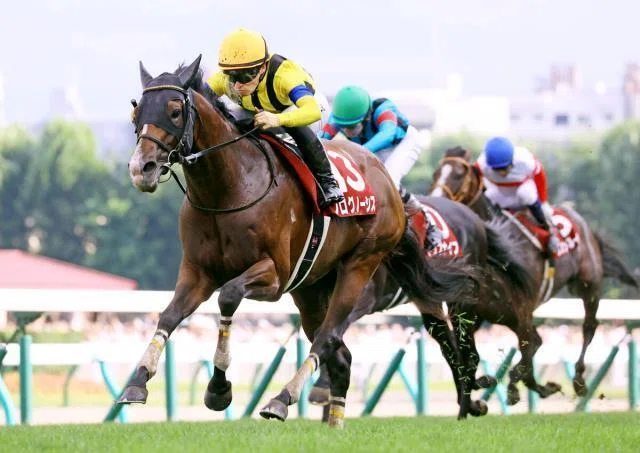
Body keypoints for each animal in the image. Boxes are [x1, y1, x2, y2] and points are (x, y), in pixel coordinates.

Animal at [120, 55, 481, 428]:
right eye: (137, 111)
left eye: (175, 110)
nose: (141, 168)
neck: (228, 189)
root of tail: (388, 184)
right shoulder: (198, 272)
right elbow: (168, 316)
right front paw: (137, 382)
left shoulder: (274, 275)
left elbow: (229, 297)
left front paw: (219, 388)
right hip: (311, 287)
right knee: (342, 355)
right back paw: (334, 419)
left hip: (360, 264)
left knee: (330, 337)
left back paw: (282, 399)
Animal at [306, 196, 537, 419]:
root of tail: (476, 219)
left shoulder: (363, 293)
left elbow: (330, 328)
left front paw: (322, 384)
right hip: (431, 300)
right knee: (452, 350)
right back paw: (472, 399)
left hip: (465, 297)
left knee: (470, 352)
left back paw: (470, 404)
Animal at [429, 146, 638, 404]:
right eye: (436, 173)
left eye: (459, 174)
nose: (435, 199)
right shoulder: (471, 315)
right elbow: (466, 357)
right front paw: (491, 382)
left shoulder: (521, 315)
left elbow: (527, 364)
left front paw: (527, 387)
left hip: (588, 285)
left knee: (588, 327)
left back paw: (579, 381)